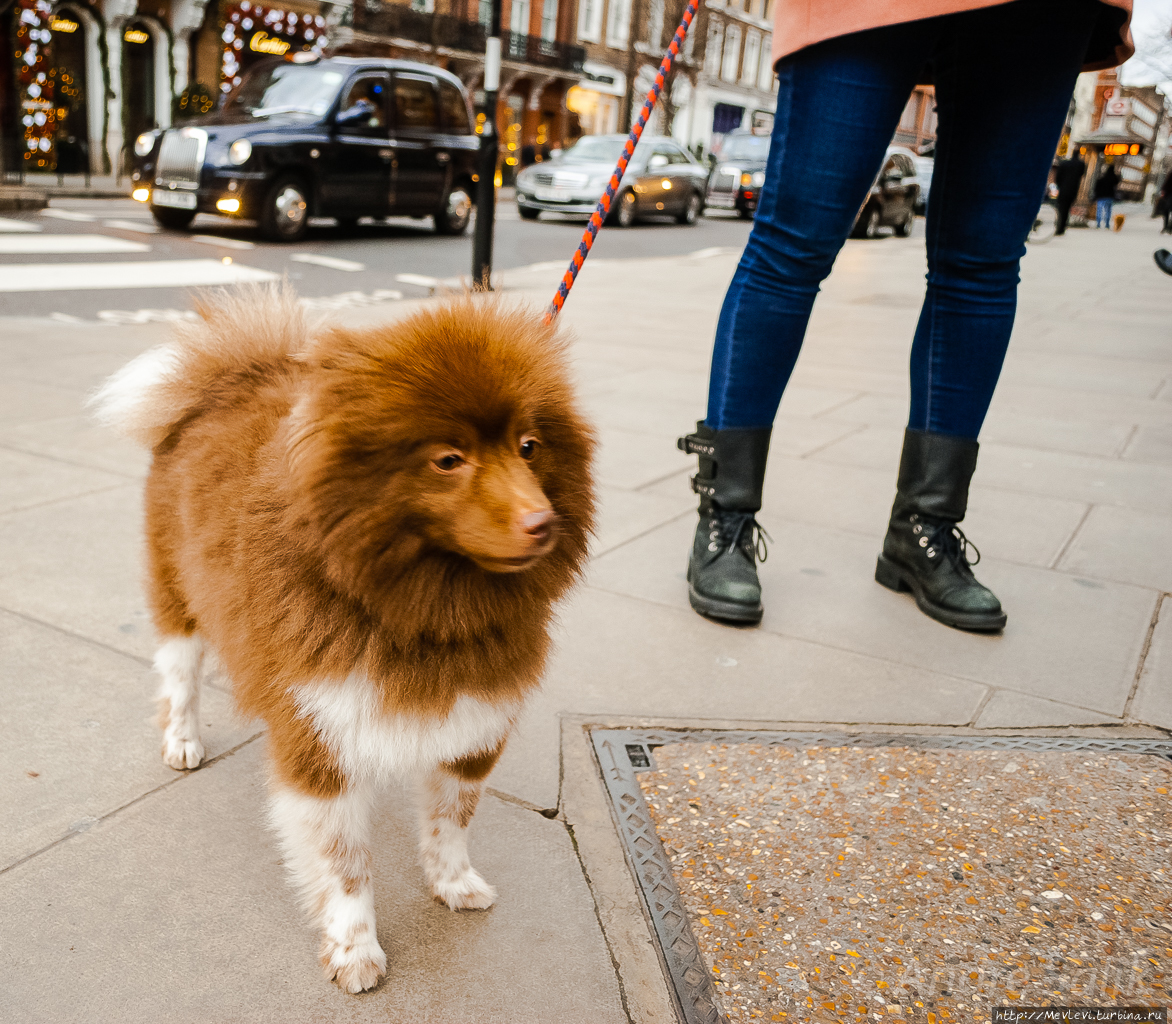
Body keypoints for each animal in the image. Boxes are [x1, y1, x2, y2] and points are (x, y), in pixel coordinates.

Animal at [91, 285, 595, 988]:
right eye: (448, 460)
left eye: (528, 446)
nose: (541, 521)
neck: (427, 608)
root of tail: (230, 379)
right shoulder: (320, 736)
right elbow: (345, 863)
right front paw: (355, 949)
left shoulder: (473, 718)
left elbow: (451, 820)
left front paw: (454, 882)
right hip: (178, 599)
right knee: (180, 676)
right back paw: (183, 740)